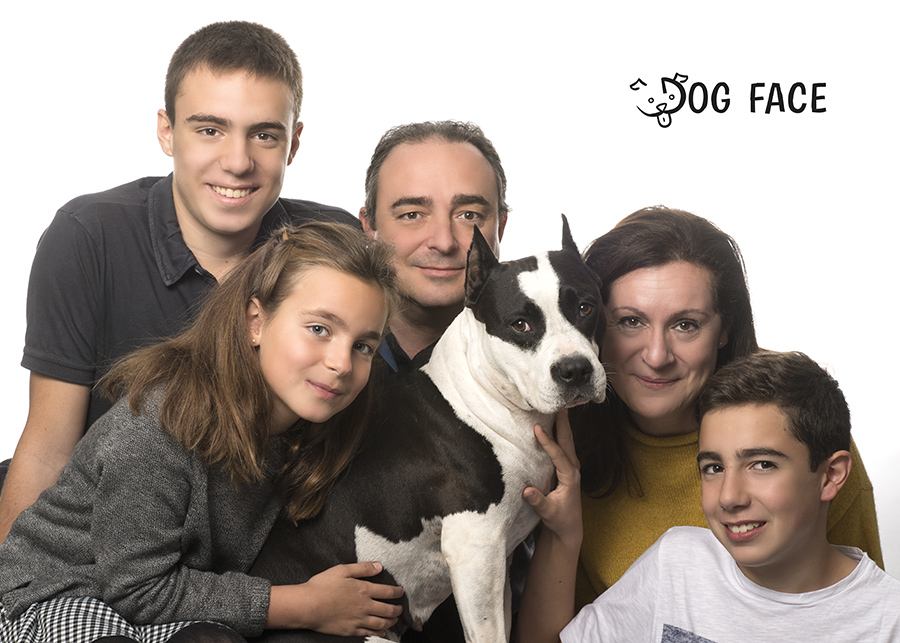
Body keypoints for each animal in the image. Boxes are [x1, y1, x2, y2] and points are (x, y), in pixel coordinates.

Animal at [250, 216, 607, 642]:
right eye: (520, 324)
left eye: (585, 307)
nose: (575, 370)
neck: (488, 398)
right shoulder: (476, 550)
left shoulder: (496, 565)